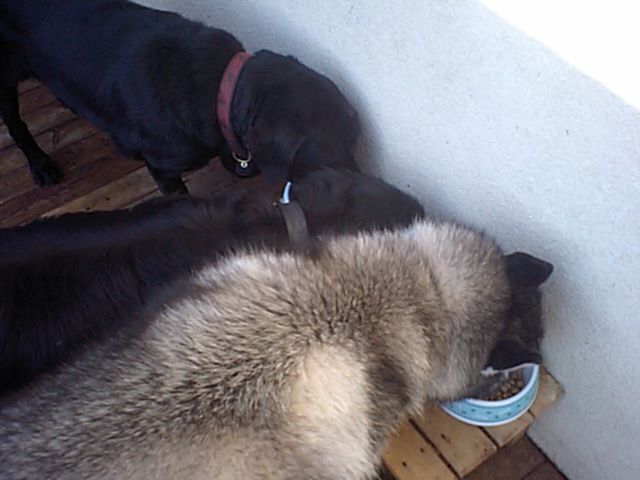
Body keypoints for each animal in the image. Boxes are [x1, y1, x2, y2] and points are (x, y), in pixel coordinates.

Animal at [0, 0, 360, 194]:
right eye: (330, 149)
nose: (361, 179)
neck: (219, 88)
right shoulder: (163, 168)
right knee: (15, 123)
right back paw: (41, 165)